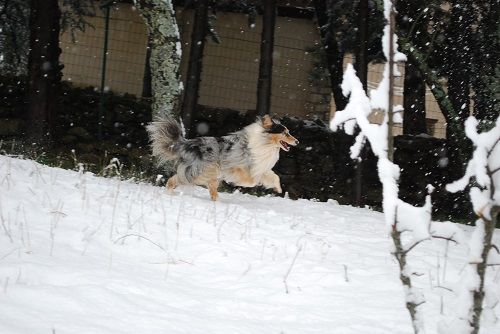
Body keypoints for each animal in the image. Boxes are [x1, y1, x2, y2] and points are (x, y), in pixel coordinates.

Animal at [146, 115, 298, 201]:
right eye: (285, 133)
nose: (297, 142)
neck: (264, 142)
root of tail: (187, 143)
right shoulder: (235, 166)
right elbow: (251, 181)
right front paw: (240, 183)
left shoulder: (259, 167)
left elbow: (274, 176)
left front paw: (278, 189)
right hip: (204, 171)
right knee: (180, 179)